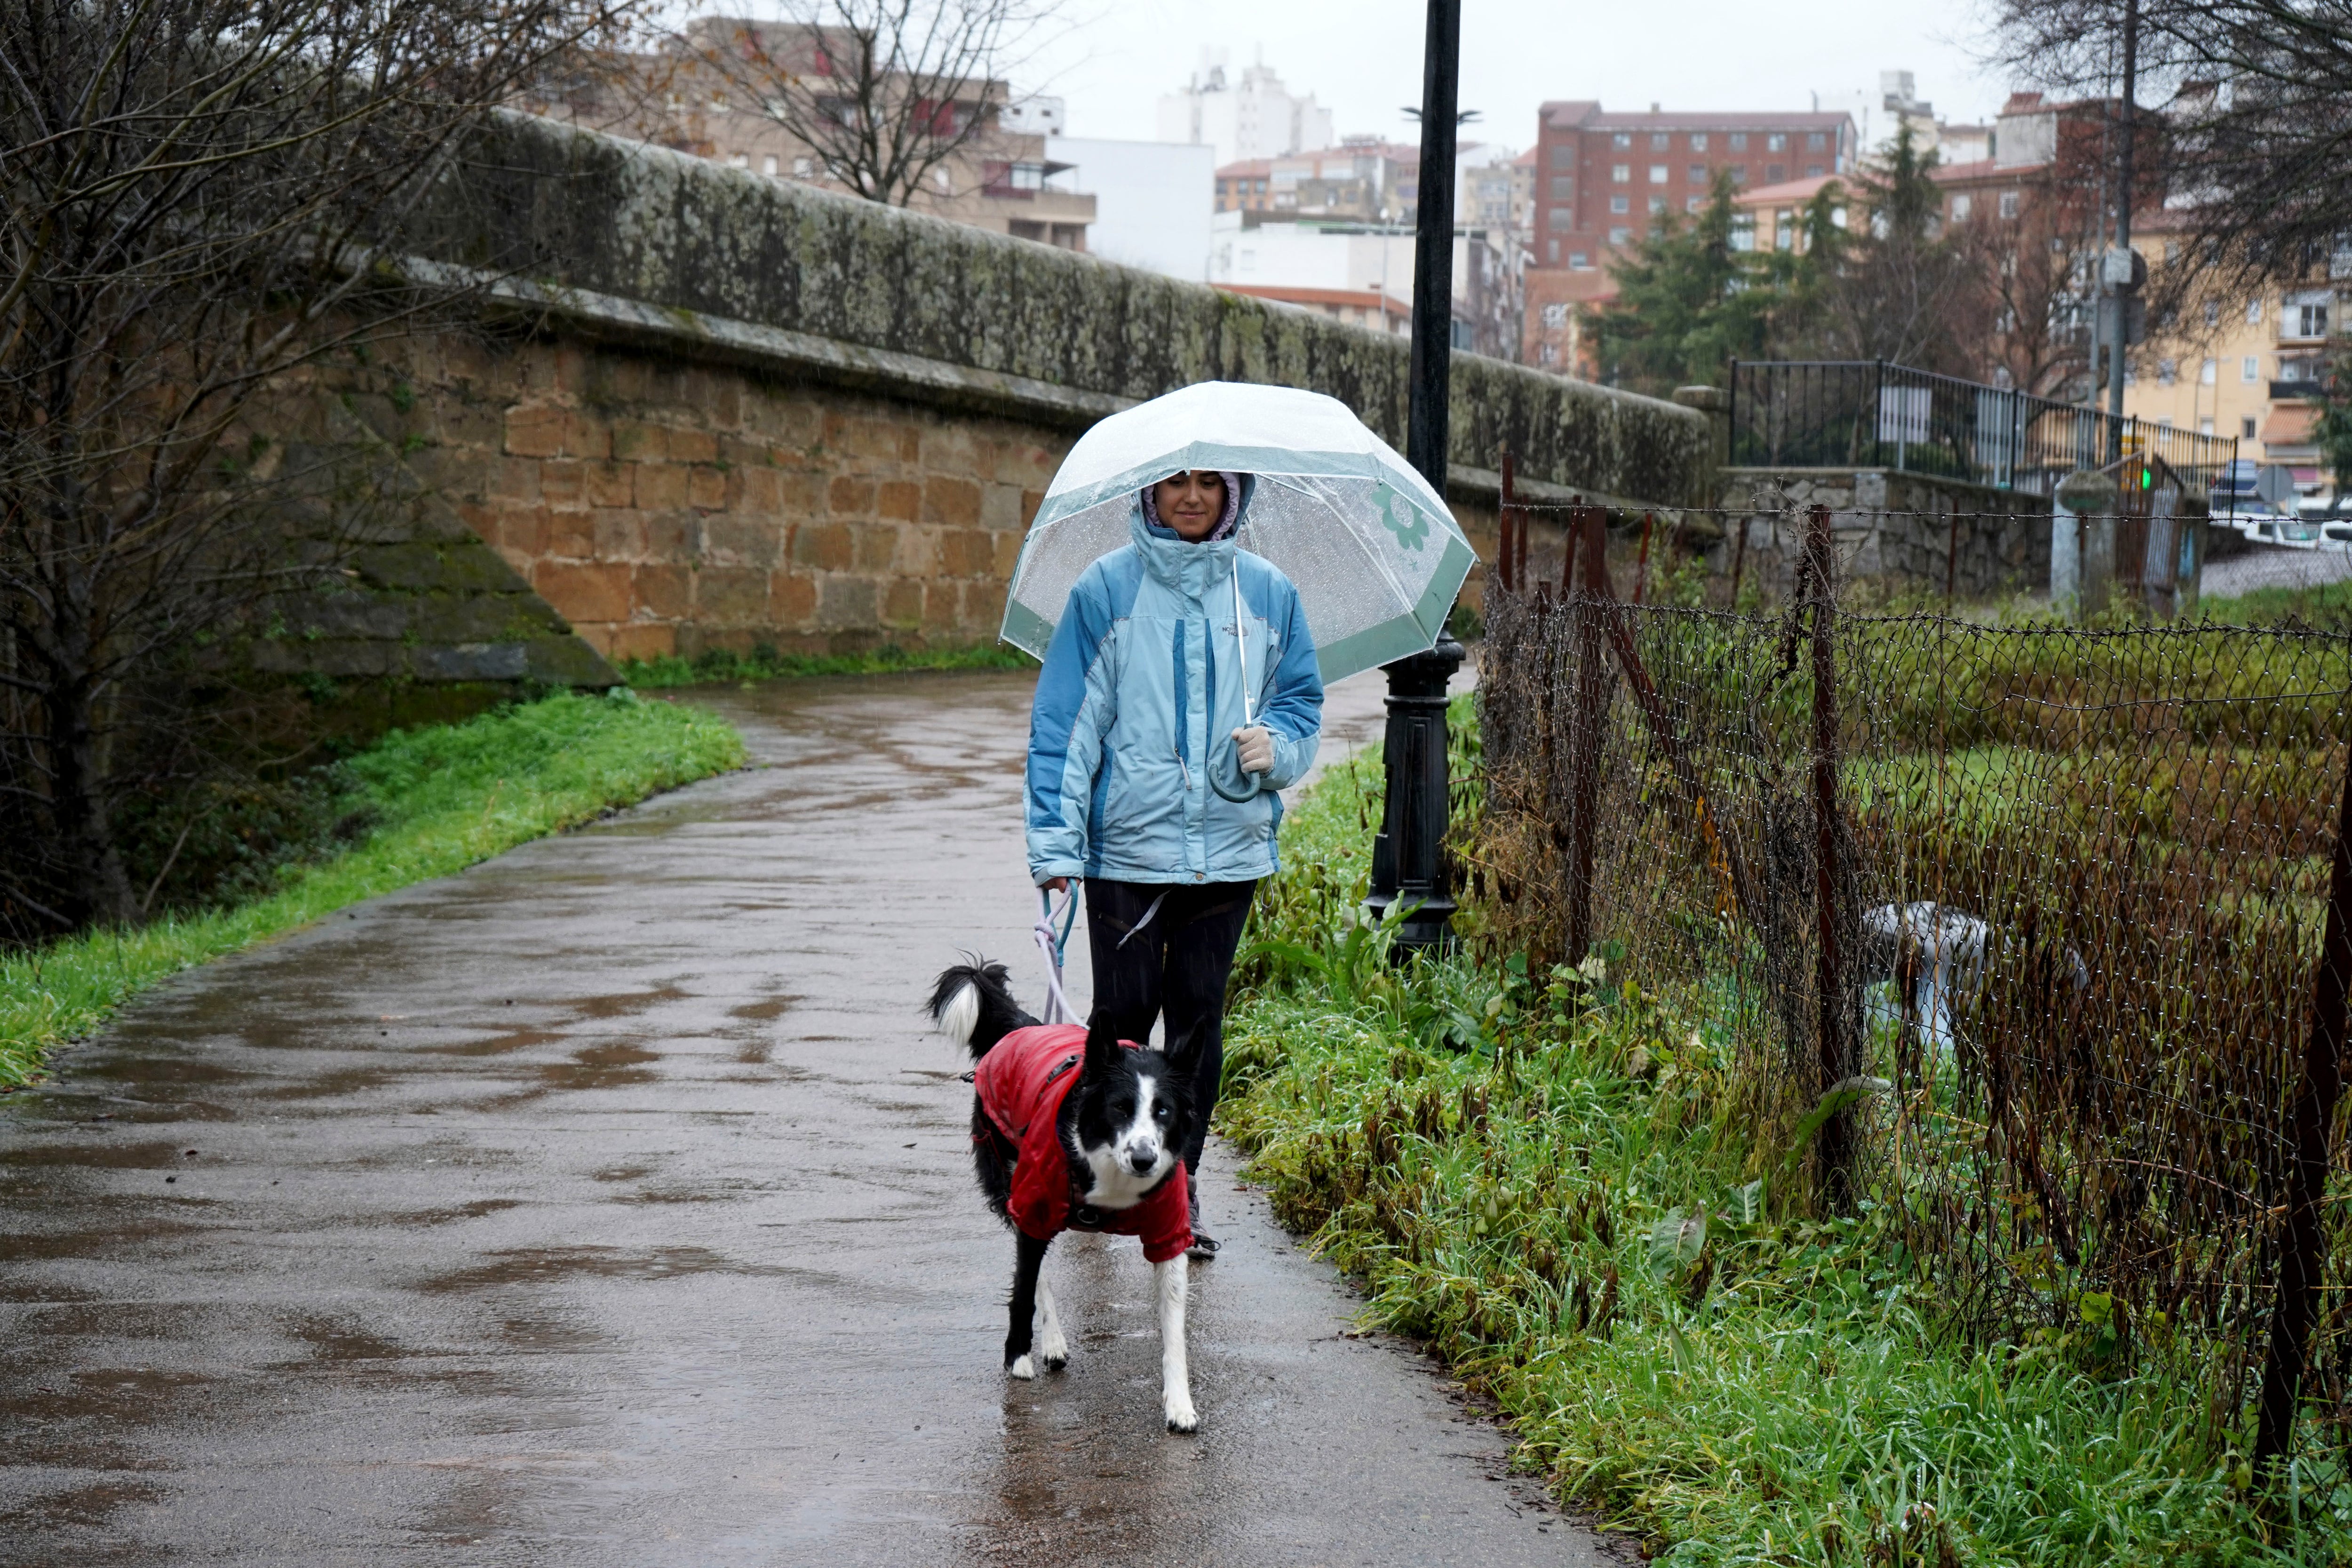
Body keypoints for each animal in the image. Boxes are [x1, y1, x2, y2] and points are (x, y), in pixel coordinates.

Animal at [927, 959, 1204, 1439]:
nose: (1145, 1158)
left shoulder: (1169, 1232)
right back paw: (1051, 1340)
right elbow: (1023, 1287)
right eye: (1119, 1108)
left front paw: (1179, 1404)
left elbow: (1174, 1331)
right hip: (1010, 1179)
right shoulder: (1034, 1204)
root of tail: (1023, 1026)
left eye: (1163, 1111)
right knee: (1032, 1266)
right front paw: (1018, 1356)